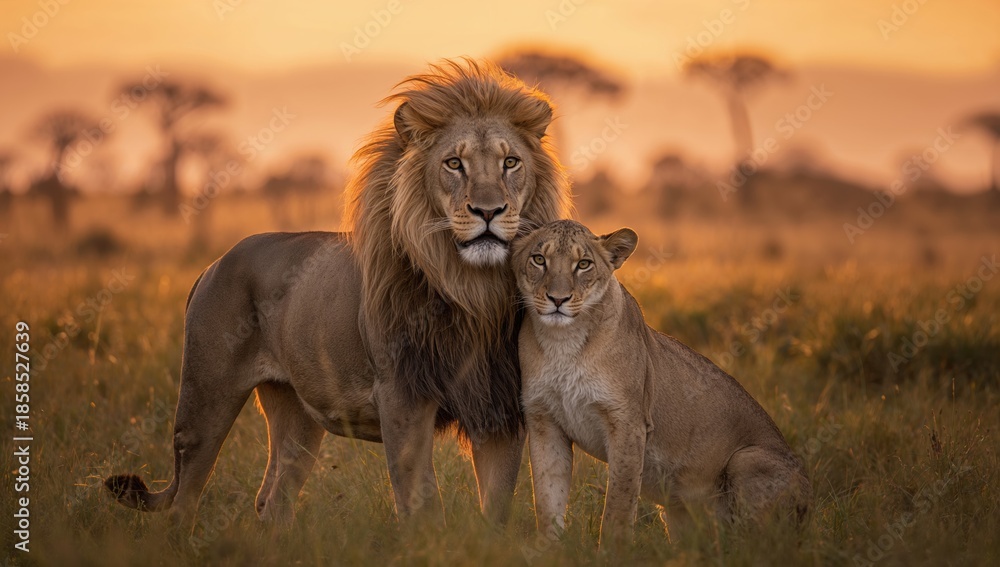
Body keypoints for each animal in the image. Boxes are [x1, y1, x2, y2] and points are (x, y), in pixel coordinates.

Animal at [104, 59, 570, 532]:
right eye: (454, 163)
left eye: (510, 162)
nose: (489, 211)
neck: (472, 288)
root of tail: (214, 263)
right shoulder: (401, 395)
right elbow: (420, 500)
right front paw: (427, 541)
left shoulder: (498, 404)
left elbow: (496, 505)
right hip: (205, 398)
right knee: (186, 499)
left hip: (297, 412)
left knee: (272, 499)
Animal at [513, 220, 810, 547]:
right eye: (539, 259)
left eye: (584, 264)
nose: (558, 300)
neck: (563, 343)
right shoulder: (545, 421)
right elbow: (547, 498)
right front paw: (547, 549)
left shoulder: (628, 423)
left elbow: (618, 504)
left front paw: (612, 552)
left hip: (748, 459)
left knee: (760, 544)